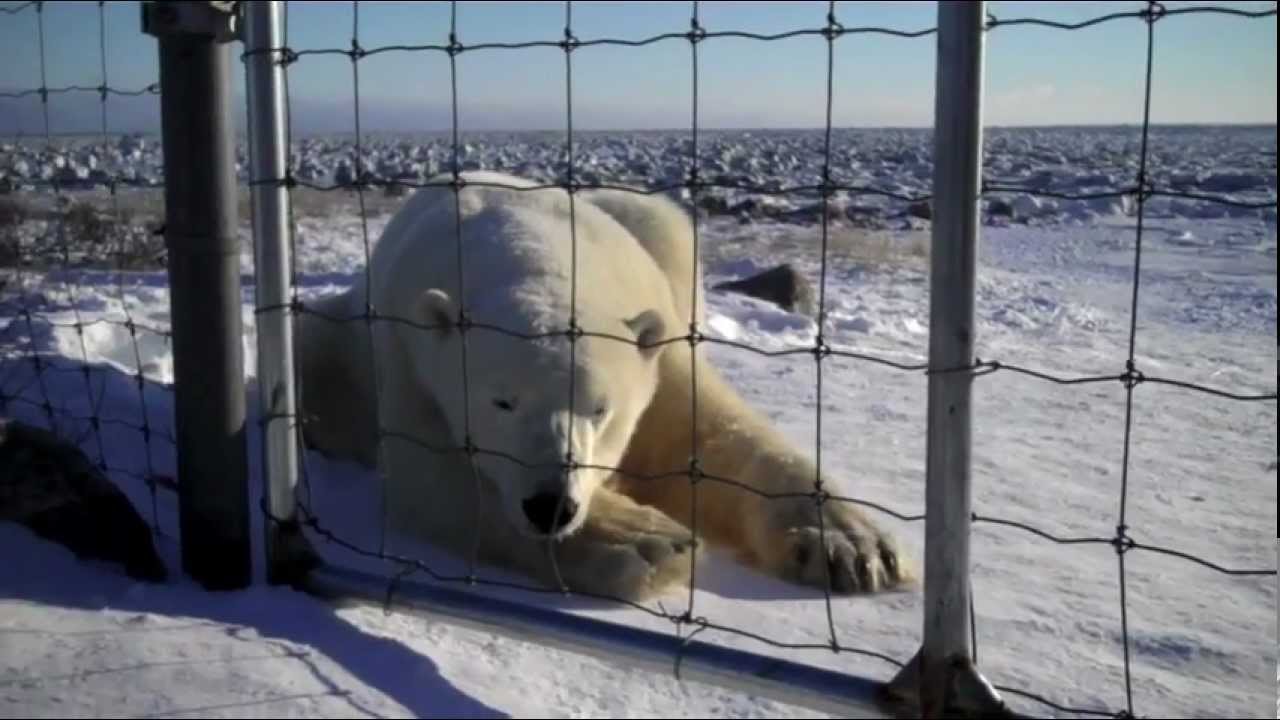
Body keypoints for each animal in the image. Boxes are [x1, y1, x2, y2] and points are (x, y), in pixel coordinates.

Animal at [297, 171, 913, 602]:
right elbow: (437, 484)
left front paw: (854, 549)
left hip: (655, 228)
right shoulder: (408, 354)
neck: (526, 243)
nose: (551, 507)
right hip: (340, 343)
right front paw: (649, 540)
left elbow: (709, 434)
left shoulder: (658, 345)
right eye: (501, 401)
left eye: (600, 410)